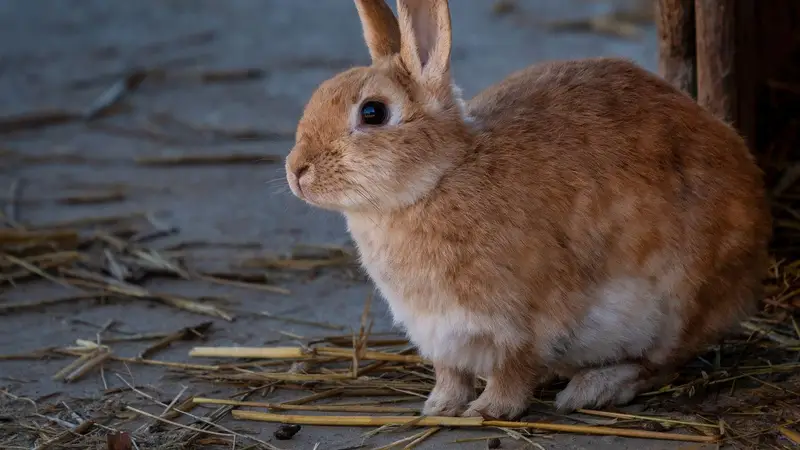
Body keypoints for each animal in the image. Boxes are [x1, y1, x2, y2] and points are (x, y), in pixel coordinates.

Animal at [284, 0, 772, 419]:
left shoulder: (523, 325)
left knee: (661, 364)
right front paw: (439, 407)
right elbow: (451, 375)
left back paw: (592, 389)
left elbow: (512, 372)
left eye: (373, 112)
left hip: (676, 304)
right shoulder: (439, 335)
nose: (296, 171)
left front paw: (487, 411)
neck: (438, 179)